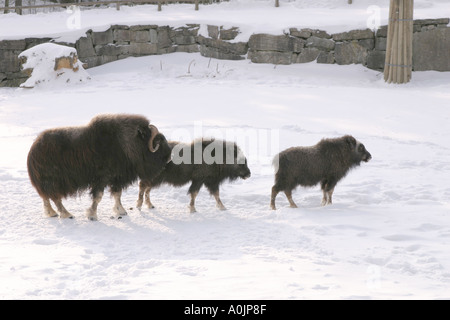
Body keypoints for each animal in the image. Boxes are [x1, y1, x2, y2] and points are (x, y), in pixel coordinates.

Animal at [26, 114, 171, 221]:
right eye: (158, 140)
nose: (169, 157)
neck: (127, 144)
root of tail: (33, 150)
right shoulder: (102, 178)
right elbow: (98, 196)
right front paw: (92, 216)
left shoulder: (117, 178)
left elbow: (117, 194)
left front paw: (121, 211)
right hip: (54, 181)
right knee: (55, 198)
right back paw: (67, 214)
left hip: (46, 182)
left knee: (46, 197)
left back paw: (52, 213)